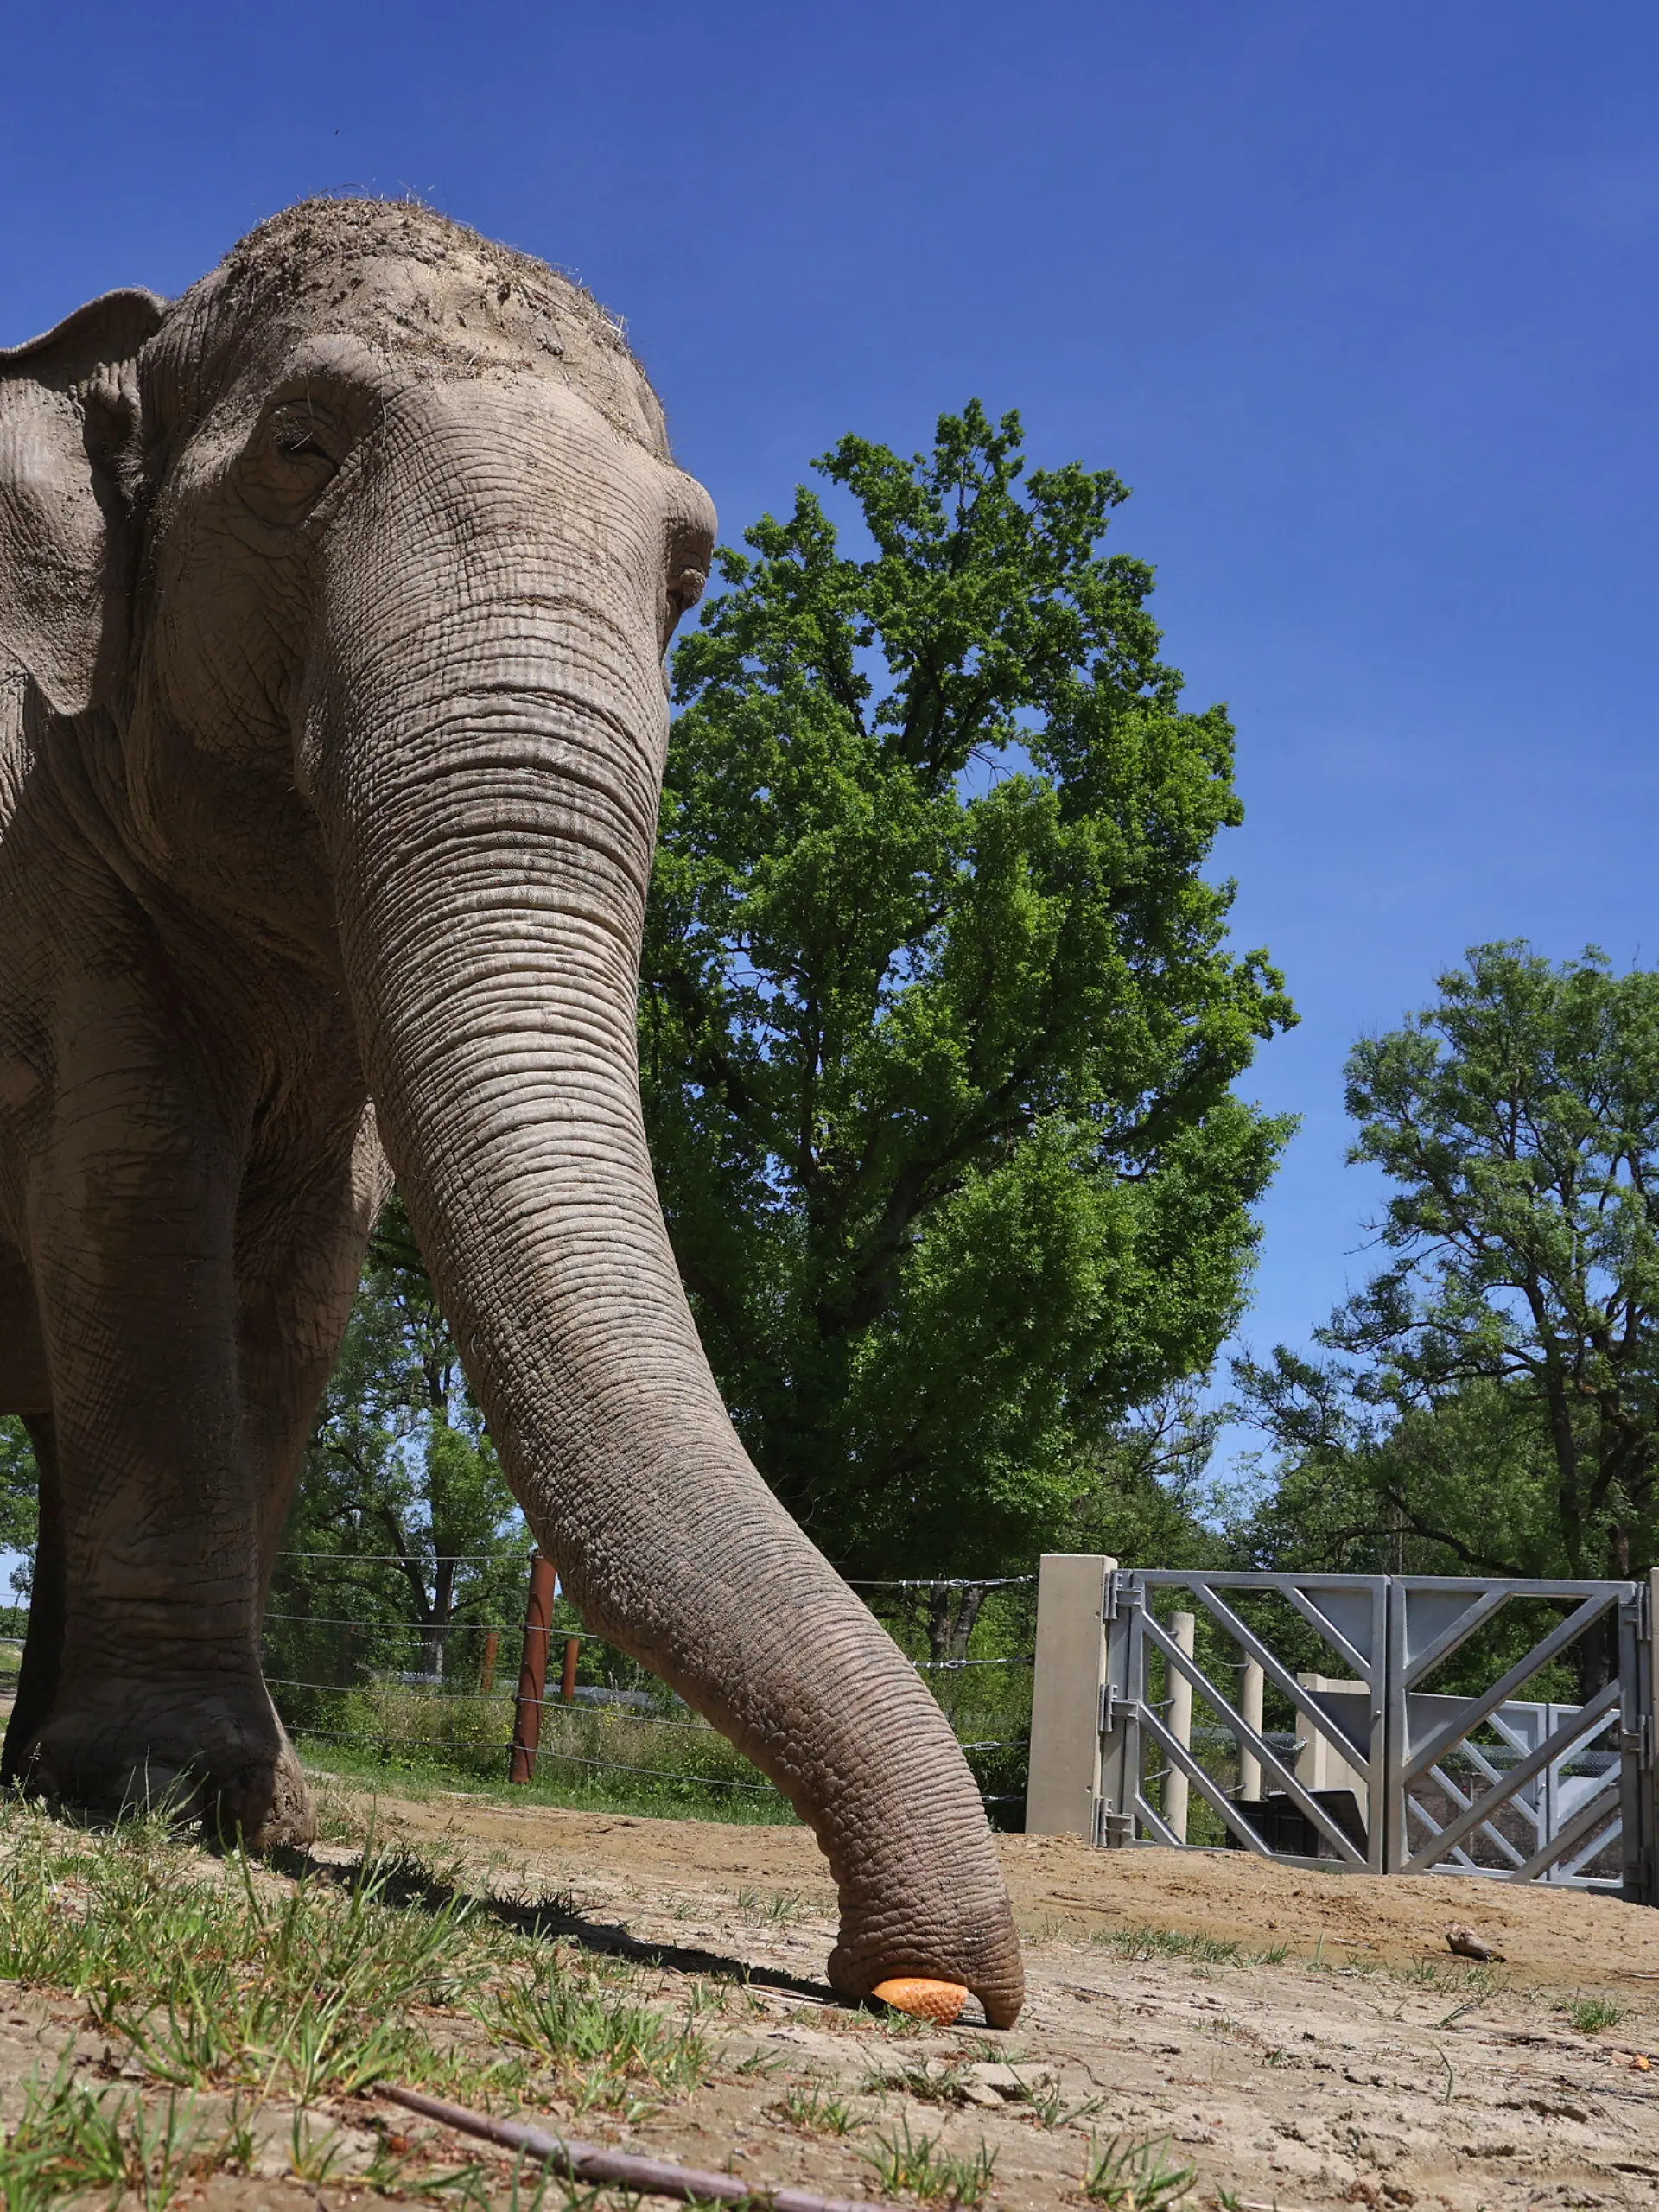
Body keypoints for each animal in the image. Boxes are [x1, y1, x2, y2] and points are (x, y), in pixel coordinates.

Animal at [0, 198, 1023, 2026]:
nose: (925, 1985)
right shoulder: (41, 845)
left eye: (690, 574)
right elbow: (130, 1172)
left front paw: (243, 1807)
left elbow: (301, 1271)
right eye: (302, 449)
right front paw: (164, 1788)